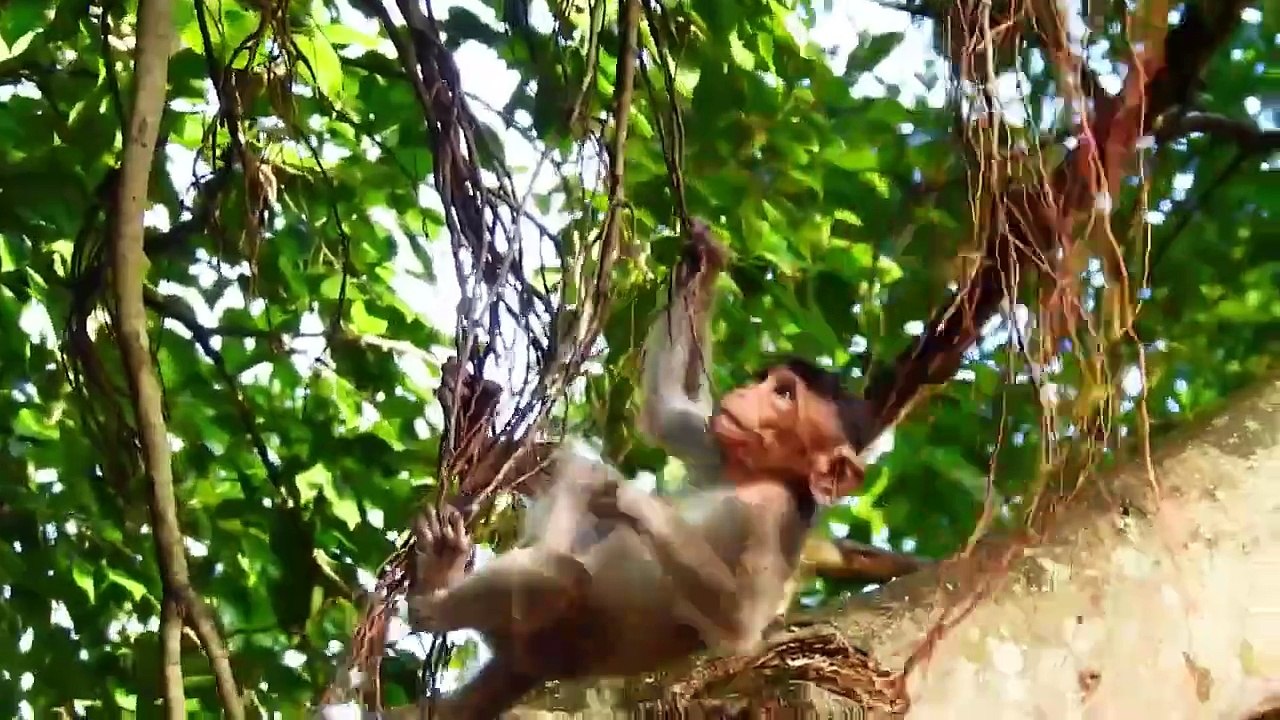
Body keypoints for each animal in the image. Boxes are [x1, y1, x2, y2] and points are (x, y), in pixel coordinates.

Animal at [398, 221, 875, 719]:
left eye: (783, 394)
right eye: (765, 381)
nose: (746, 392)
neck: (754, 475)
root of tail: (527, 668)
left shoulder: (778, 519)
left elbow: (740, 624)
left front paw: (629, 498)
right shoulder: (717, 449)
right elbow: (665, 412)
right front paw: (702, 263)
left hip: (542, 637)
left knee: (561, 575)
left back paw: (433, 594)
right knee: (569, 483)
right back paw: (475, 452)